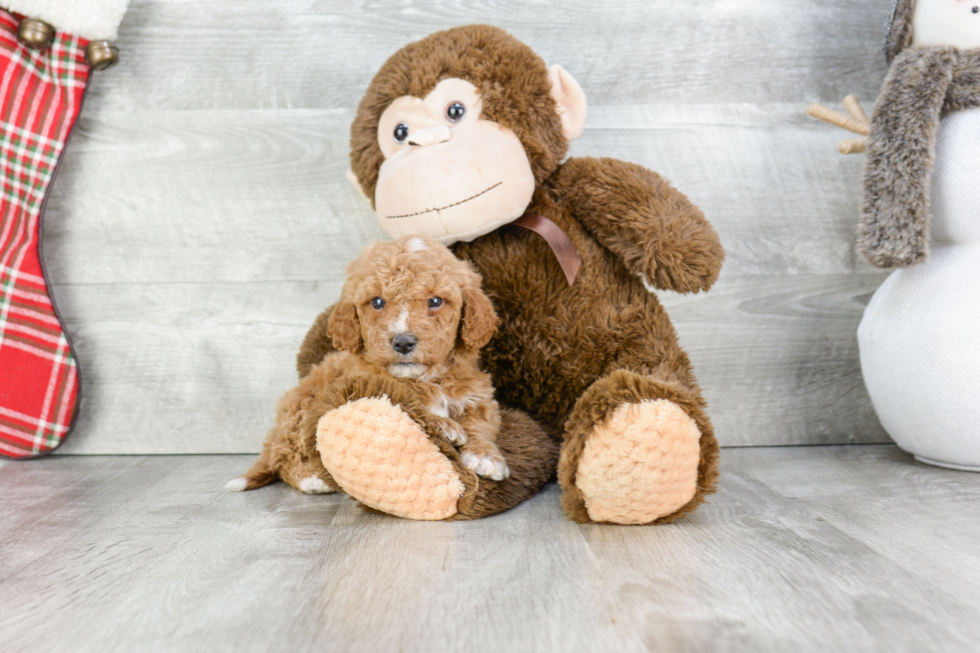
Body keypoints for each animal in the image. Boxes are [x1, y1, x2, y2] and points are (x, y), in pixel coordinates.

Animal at [227, 234, 510, 494]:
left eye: (435, 301)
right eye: (377, 302)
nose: (403, 342)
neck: (425, 377)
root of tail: (275, 430)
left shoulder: (478, 399)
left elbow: (480, 425)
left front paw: (486, 456)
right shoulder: (371, 390)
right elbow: (411, 405)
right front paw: (445, 426)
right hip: (301, 412)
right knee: (284, 457)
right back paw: (312, 479)